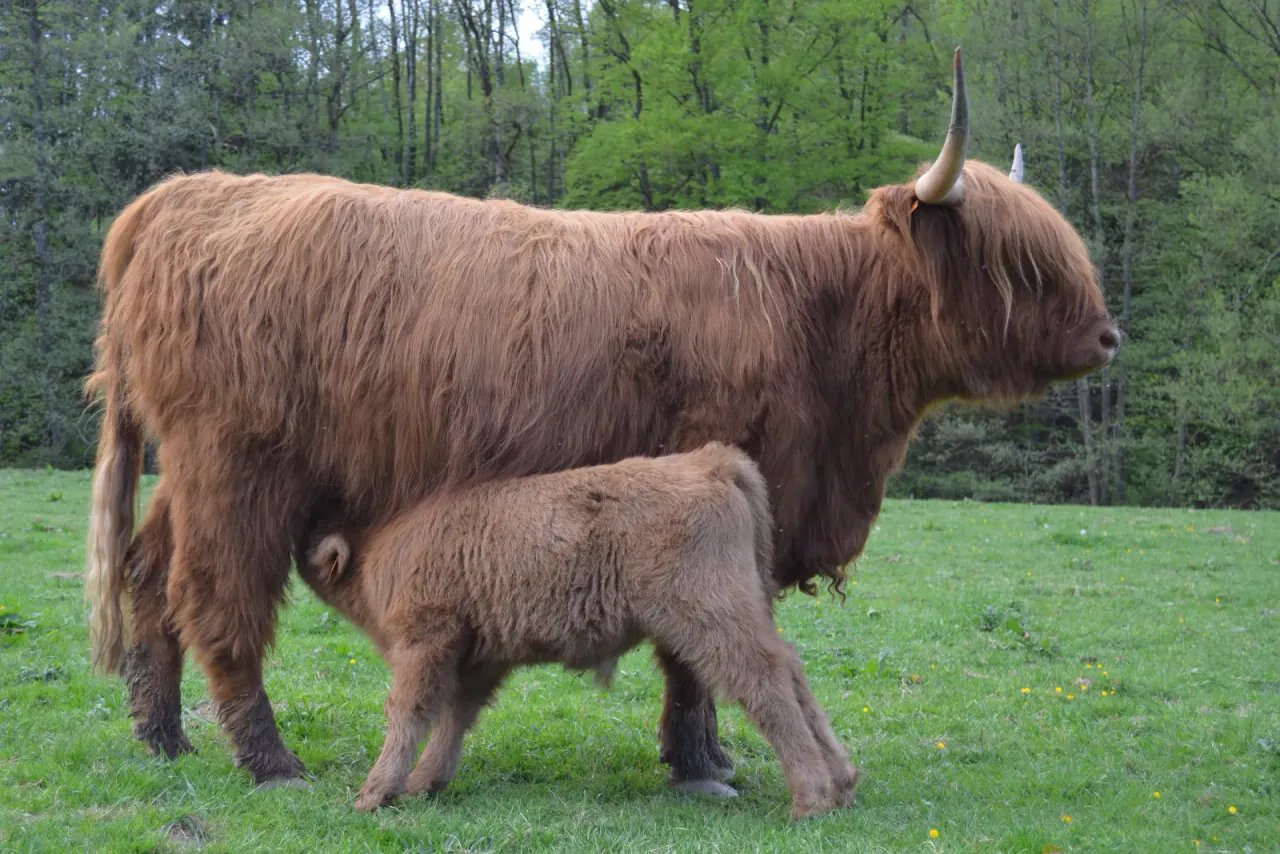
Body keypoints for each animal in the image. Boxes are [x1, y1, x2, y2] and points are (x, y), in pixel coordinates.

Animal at [296, 444, 859, 819]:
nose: (301, 540)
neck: (383, 548)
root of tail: (709, 462)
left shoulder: (425, 642)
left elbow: (409, 712)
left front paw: (375, 792)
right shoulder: (479, 659)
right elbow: (456, 717)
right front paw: (426, 782)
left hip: (712, 620)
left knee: (763, 682)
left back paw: (811, 798)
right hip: (747, 610)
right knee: (791, 669)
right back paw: (843, 782)